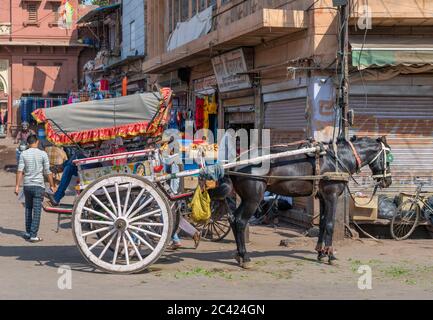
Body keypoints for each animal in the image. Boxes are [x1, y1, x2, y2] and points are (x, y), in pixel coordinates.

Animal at [219, 135, 392, 268]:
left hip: (247, 198)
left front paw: (321, 253)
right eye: (389, 158)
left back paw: (239, 255)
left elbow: (322, 223)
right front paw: (330, 256)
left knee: (233, 219)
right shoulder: (332, 195)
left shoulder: (322, 197)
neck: (337, 160)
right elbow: (330, 224)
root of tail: (237, 162)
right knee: (241, 221)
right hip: (254, 198)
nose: (388, 181)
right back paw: (245, 257)